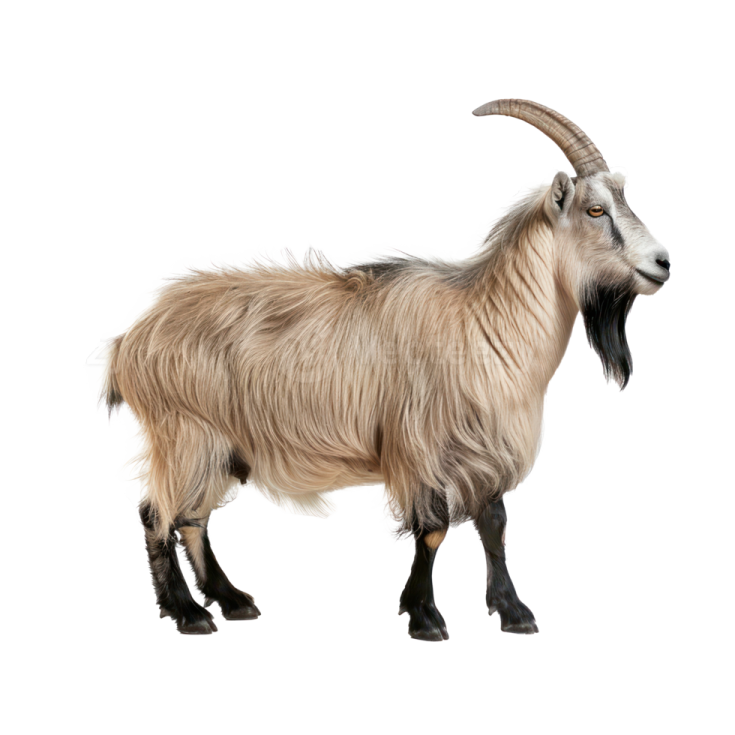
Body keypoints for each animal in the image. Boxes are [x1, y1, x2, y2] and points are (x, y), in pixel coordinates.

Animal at [91, 98, 671, 639]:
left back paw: (231, 601)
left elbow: (492, 524)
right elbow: (433, 528)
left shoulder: (485, 445)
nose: (662, 263)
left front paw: (513, 612)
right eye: (595, 211)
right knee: (158, 514)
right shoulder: (420, 444)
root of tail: (129, 340)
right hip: (183, 432)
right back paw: (188, 612)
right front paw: (425, 615)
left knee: (191, 517)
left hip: (218, 445)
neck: (482, 320)